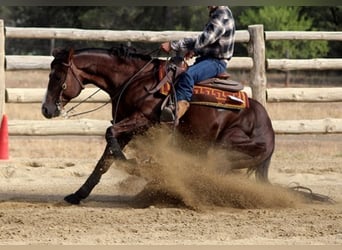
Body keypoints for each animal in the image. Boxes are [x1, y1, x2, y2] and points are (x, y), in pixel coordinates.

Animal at [41, 47, 276, 205]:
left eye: (58, 76)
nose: (46, 109)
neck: (135, 80)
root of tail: (270, 133)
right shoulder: (127, 127)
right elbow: (105, 158)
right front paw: (78, 195)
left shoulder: (142, 119)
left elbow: (110, 137)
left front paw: (134, 165)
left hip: (225, 148)